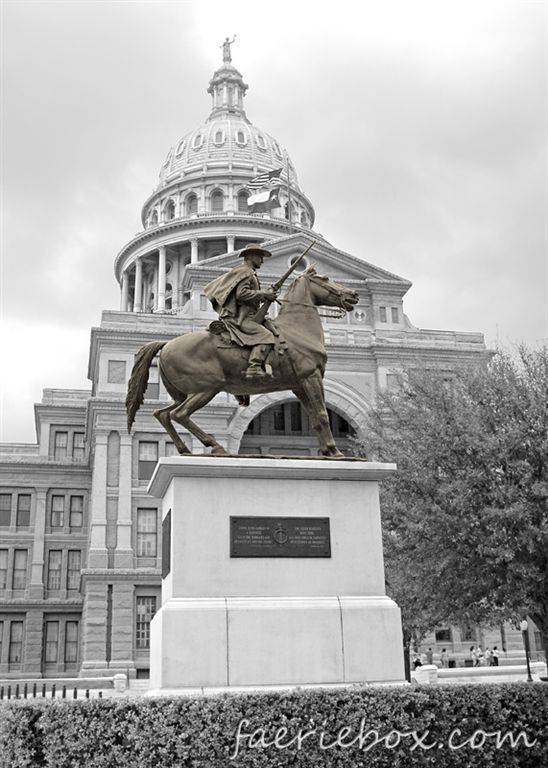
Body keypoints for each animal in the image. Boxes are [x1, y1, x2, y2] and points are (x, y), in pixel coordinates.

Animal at [126, 268, 362, 456]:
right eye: (325, 278)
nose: (354, 294)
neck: (298, 328)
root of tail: (166, 343)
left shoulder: (298, 385)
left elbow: (314, 417)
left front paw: (327, 452)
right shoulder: (311, 377)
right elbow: (322, 414)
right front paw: (335, 452)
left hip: (183, 393)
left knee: (162, 414)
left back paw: (186, 449)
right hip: (206, 388)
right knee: (179, 414)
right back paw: (215, 446)